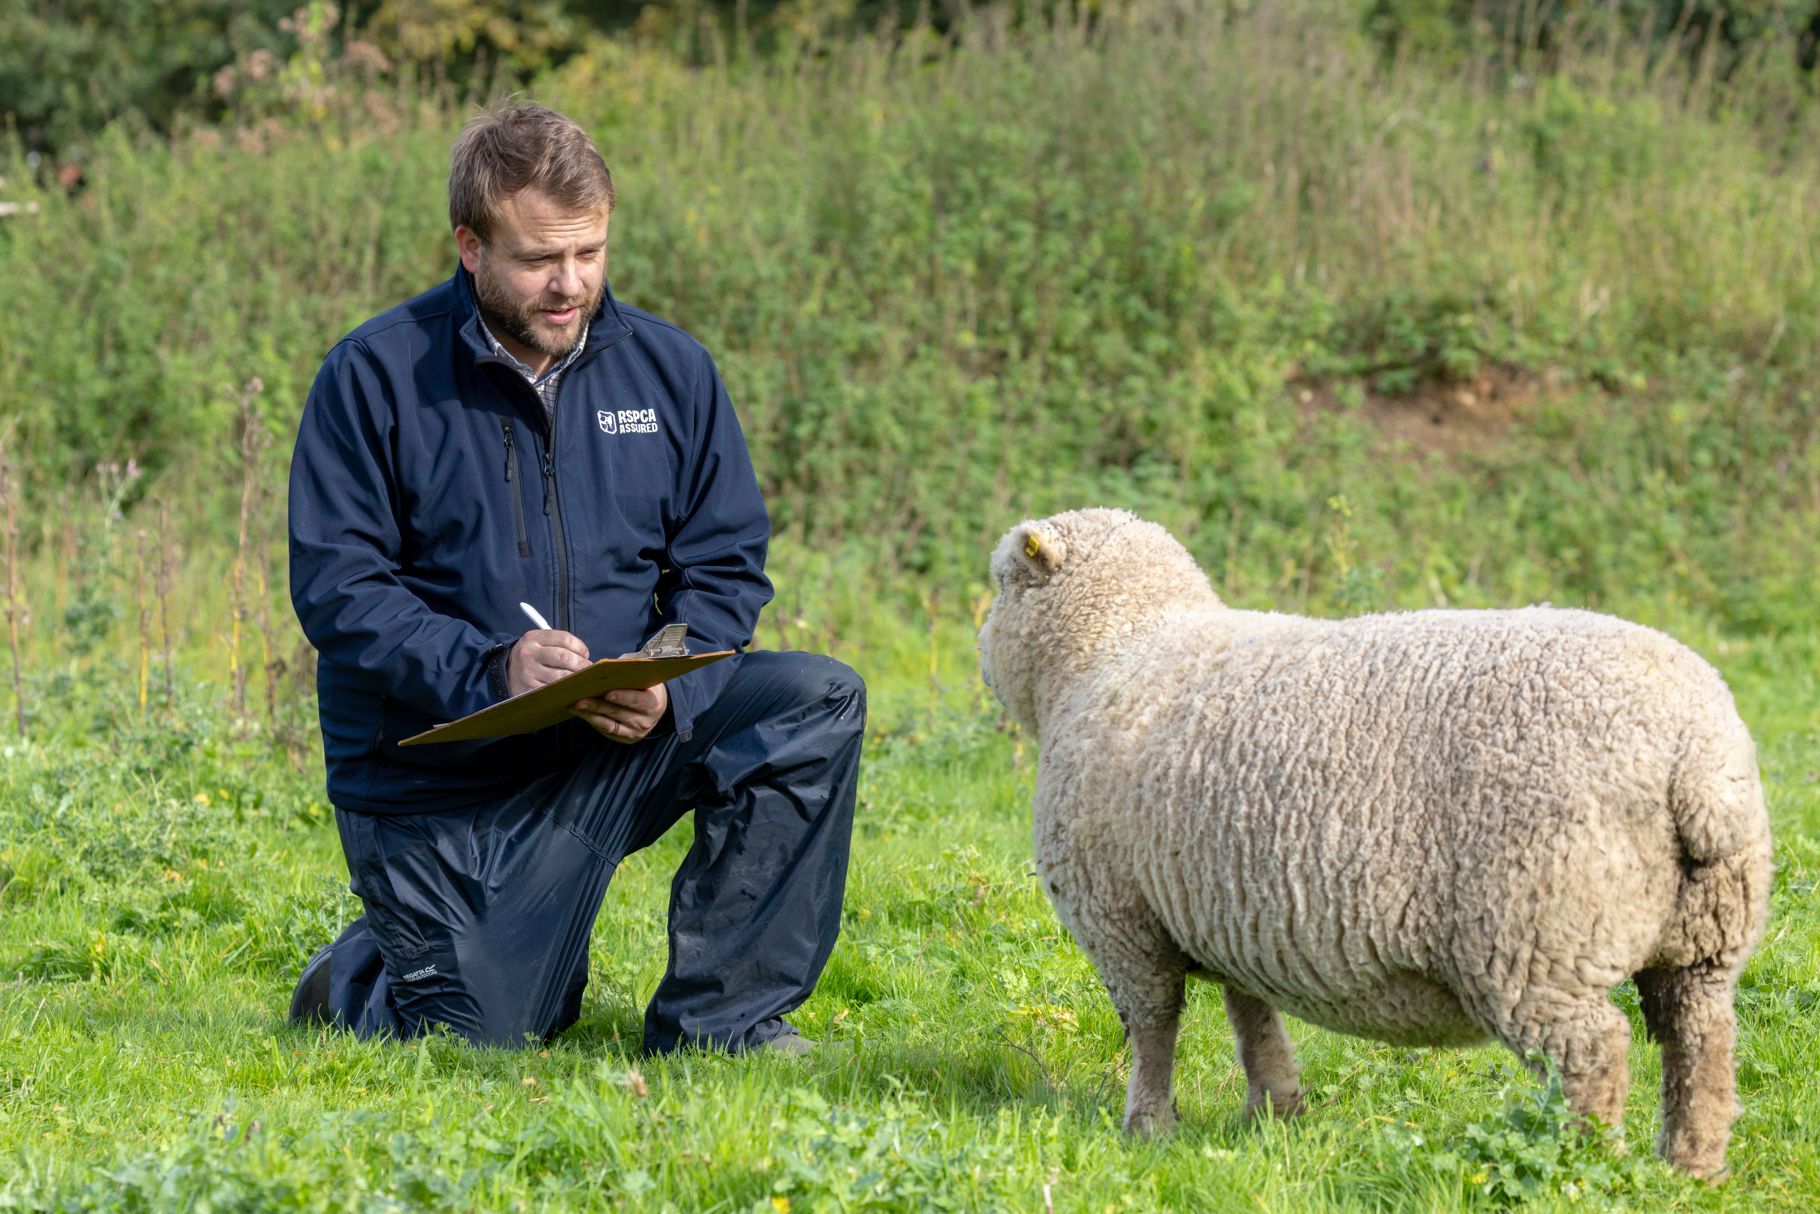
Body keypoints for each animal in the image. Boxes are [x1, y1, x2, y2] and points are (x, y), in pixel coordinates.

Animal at [976, 507, 1771, 1177]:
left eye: (1000, 583)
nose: (978, 647)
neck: (1116, 647)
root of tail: (1700, 755)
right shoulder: (1226, 908)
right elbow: (1251, 1016)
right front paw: (1275, 1110)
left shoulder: (1122, 922)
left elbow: (1152, 1029)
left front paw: (1145, 1127)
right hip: (1704, 932)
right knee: (1701, 1041)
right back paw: (1691, 1167)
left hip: (1538, 929)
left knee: (1595, 1055)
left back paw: (1579, 1169)